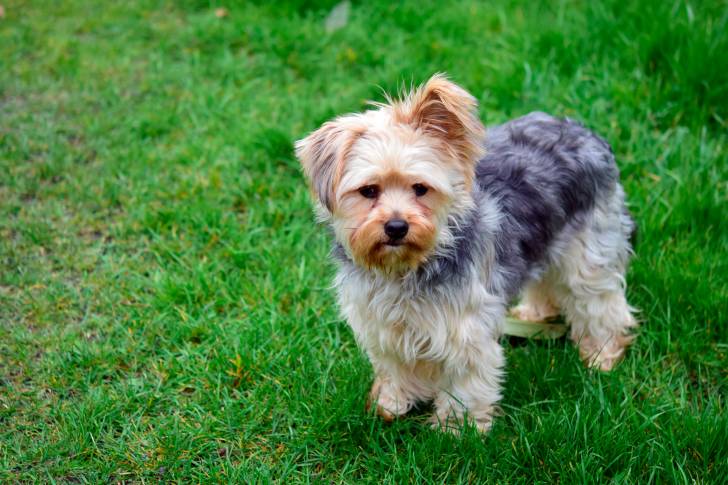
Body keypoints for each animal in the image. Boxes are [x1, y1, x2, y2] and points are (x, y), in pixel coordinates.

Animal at [296, 73, 636, 432]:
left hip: (589, 251)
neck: (407, 267)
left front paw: (457, 430)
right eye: (369, 191)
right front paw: (391, 404)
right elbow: (395, 367)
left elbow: (465, 384)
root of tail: (587, 134)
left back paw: (602, 355)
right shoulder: (383, 325)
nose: (397, 227)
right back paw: (535, 314)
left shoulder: (465, 331)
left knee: (600, 303)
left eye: (420, 188)